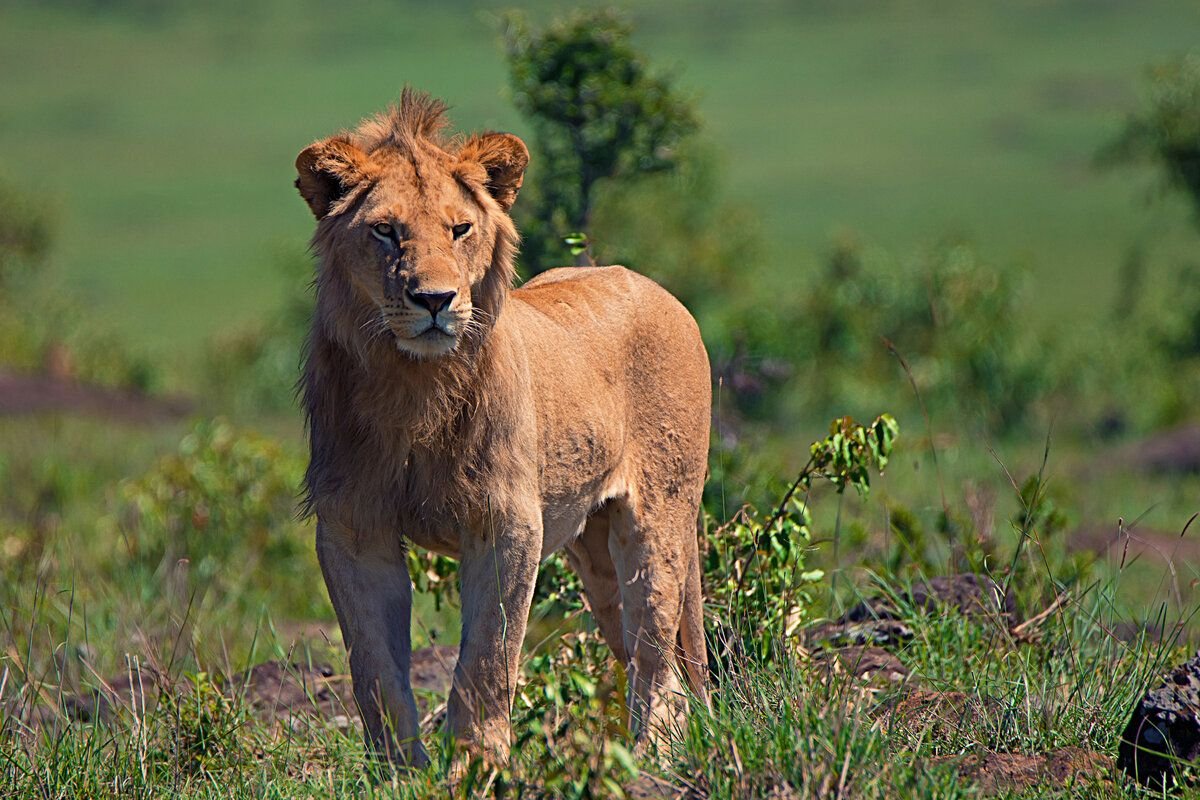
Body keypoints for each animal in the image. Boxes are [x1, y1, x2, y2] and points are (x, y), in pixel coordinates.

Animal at [294, 90, 710, 767]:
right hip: (594, 547)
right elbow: (375, 669)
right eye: (385, 231)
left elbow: (487, 660)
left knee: (657, 653)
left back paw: (651, 761)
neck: (416, 387)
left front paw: (476, 767)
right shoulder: (353, 527)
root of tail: (654, 287)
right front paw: (402, 773)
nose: (434, 300)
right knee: (633, 645)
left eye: (460, 229)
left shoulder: (506, 523)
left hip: (660, 518)